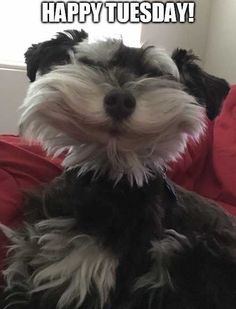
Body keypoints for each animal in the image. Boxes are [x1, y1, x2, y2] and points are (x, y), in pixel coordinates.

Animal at [0, 29, 236, 308]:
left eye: (156, 74)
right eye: (92, 63)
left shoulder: (84, 276)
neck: (108, 179)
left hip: (186, 248)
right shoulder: (24, 259)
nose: (120, 100)